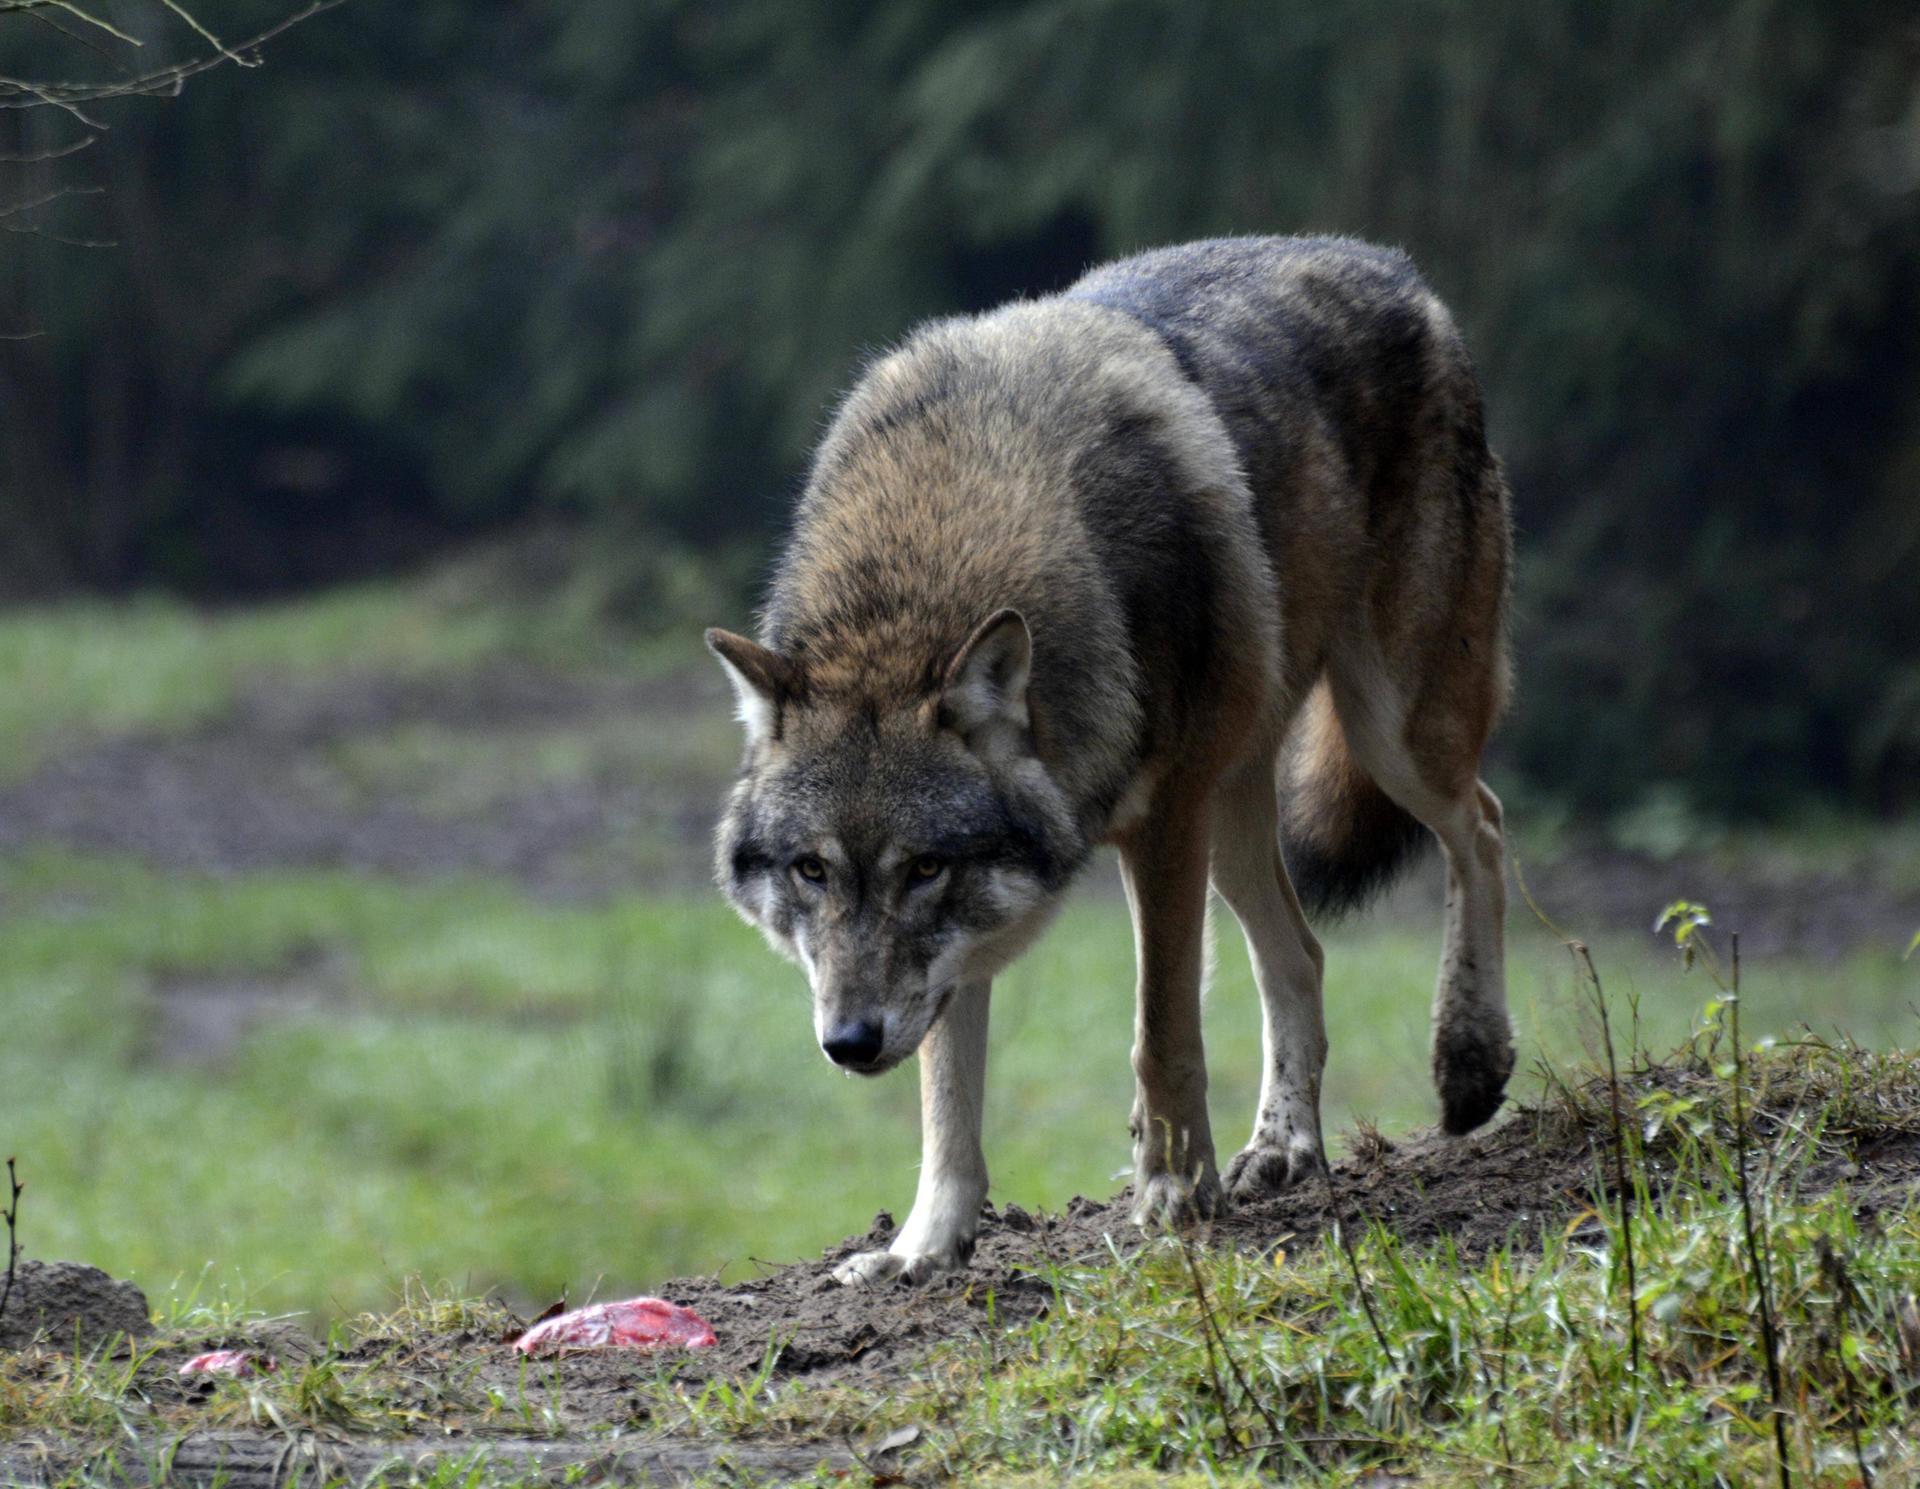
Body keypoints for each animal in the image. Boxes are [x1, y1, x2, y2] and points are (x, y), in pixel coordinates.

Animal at [707, 235, 1514, 1285]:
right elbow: (946, 1091)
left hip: (1389, 733)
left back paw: (1470, 1063)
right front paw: (925, 1243)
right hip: (1241, 802)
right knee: (1300, 952)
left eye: (924, 868)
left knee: (1482, 826)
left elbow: (1159, 1033)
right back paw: (1283, 1145)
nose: (848, 1041)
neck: (928, 560)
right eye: (812, 870)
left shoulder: (1162, 821)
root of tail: (1393, 267)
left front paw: (1173, 1192)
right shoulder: (964, 953)